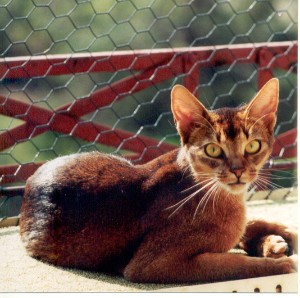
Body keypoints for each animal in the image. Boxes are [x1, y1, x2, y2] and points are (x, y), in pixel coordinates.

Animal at [19, 78, 298, 282]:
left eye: (252, 146)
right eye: (212, 150)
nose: (238, 171)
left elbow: (248, 227)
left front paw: (280, 237)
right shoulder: (153, 264)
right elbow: (233, 263)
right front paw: (282, 264)